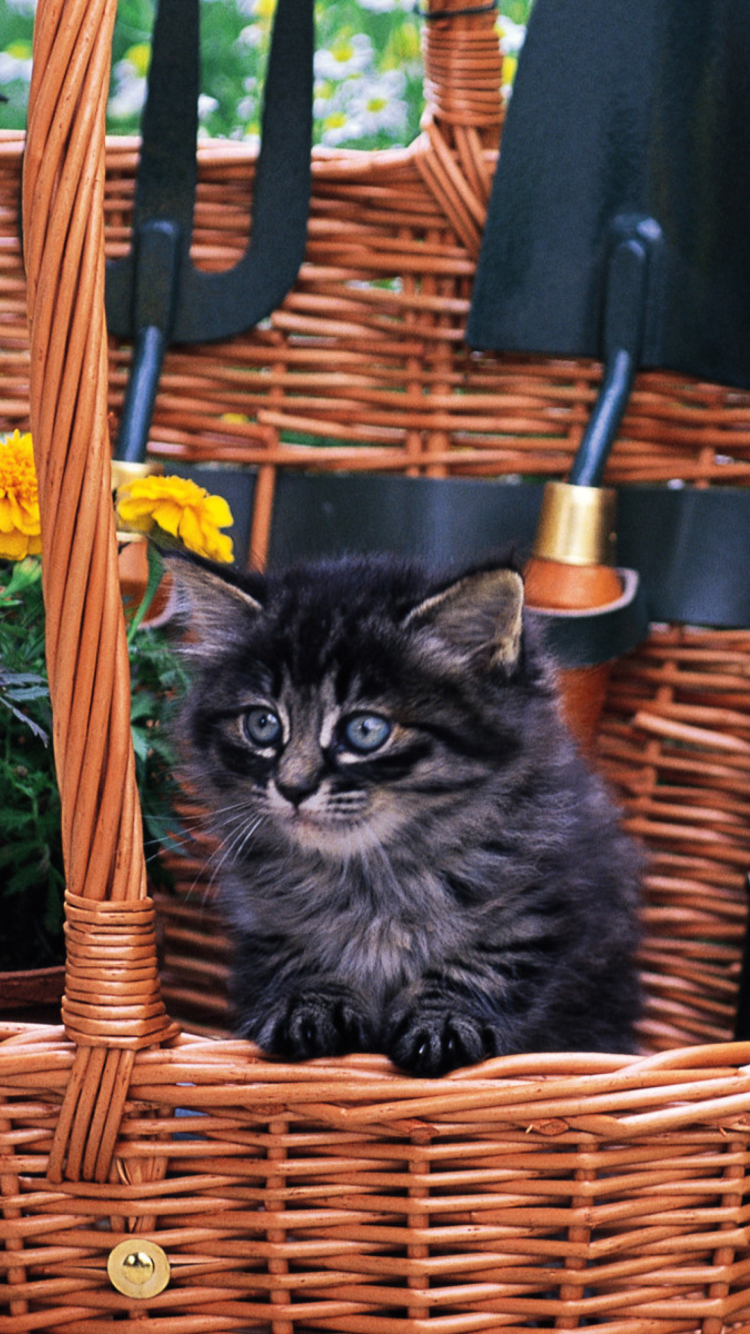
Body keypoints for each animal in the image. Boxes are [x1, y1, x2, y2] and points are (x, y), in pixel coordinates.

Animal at [166, 546, 640, 1077]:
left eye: (365, 730)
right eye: (263, 724)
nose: (292, 786)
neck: (371, 874)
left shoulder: (539, 902)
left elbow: (480, 963)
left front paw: (444, 1022)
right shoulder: (266, 919)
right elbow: (301, 957)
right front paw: (309, 1007)